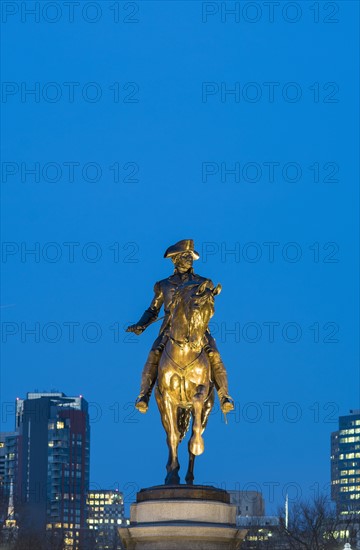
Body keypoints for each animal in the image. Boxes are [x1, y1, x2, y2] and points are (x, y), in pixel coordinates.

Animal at [155, 280, 222, 488]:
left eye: (212, 311)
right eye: (196, 305)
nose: (197, 344)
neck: (184, 352)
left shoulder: (201, 392)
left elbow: (195, 424)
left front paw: (196, 444)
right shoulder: (168, 398)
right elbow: (173, 436)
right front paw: (172, 474)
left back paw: (190, 477)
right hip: (163, 410)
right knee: (170, 435)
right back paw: (170, 470)